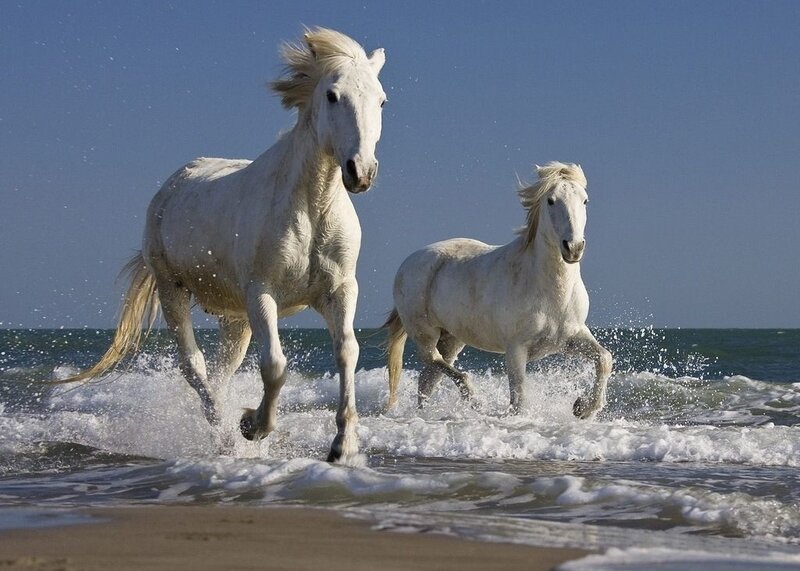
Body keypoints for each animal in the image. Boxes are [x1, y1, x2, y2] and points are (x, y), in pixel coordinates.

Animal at [58, 28, 388, 463]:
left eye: (382, 100)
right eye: (333, 95)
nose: (360, 171)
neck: (311, 206)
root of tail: (172, 184)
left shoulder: (340, 291)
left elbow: (347, 352)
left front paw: (342, 446)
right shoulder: (261, 293)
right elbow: (275, 365)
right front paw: (253, 426)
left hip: (235, 318)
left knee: (220, 373)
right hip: (174, 292)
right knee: (195, 367)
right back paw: (226, 437)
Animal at [385, 162, 612, 419]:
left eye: (585, 200)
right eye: (551, 201)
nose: (573, 248)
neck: (550, 292)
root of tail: (408, 262)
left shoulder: (570, 338)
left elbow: (604, 358)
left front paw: (583, 408)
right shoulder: (516, 349)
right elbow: (519, 399)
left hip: (451, 339)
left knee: (428, 378)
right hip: (425, 332)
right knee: (433, 360)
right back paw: (472, 398)